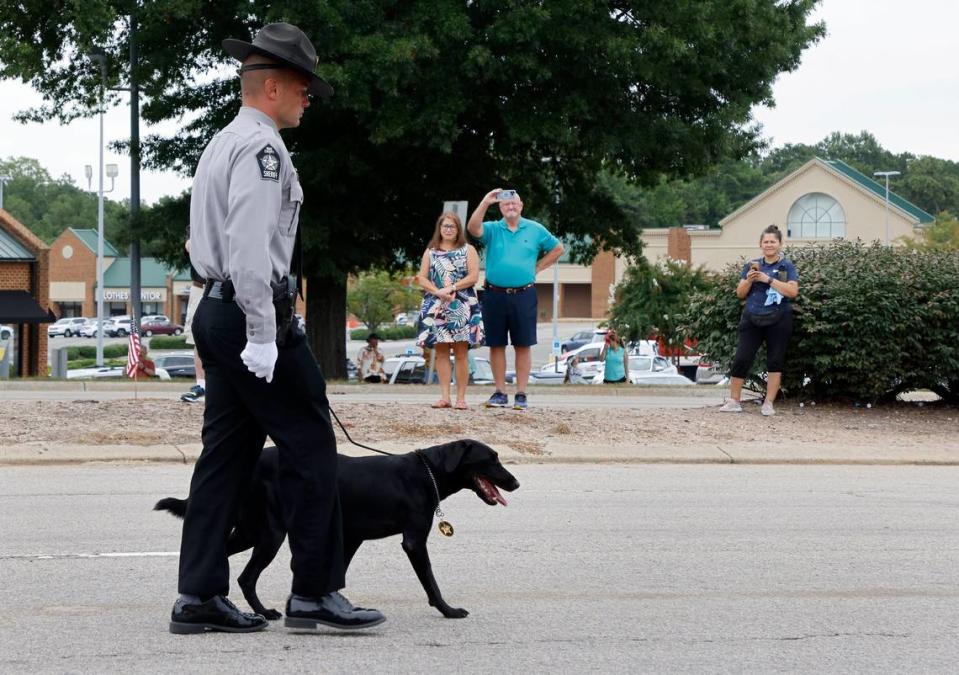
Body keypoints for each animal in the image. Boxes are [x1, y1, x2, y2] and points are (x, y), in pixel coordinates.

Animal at [158, 440, 520, 620]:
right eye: (492, 459)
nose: (516, 483)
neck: (427, 471)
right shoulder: (414, 541)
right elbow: (431, 580)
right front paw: (448, 610)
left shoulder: (352, 538)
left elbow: (335, 574)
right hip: (270, 533)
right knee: (246, 576)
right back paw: (260, 611)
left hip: (250, 530)